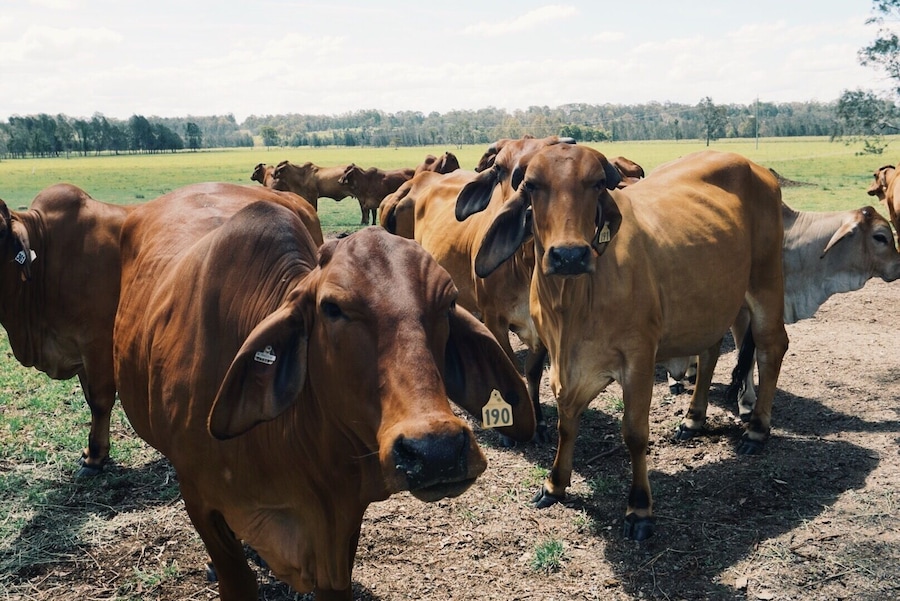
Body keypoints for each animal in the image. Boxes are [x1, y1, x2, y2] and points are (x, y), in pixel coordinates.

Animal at [0, 183, 133, 477]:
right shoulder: (79, 350)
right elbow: (90, 399)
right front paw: (94, 455)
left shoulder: (97, 344)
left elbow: (100, 400)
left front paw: (95, 458)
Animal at [113, 188, 535, 599]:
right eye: (332, 308)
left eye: (448, 302)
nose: (437, 451)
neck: (281, 447)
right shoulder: (199, 500)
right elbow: (236, 576)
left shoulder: (341, 521)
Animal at [465, 146, 789, 540]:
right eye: (531, 185)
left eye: (596, 183)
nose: (569, 255)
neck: (572, 303)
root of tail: (757, 169)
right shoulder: (561, 360)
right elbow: (566, 423)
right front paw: (555, 484)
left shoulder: (638, 358)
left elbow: (634, 433)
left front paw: (639, 508)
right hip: (708, 303)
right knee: (710, 351)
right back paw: (693, 419)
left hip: (767, 281)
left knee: (772, 347)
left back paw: (756, 430)